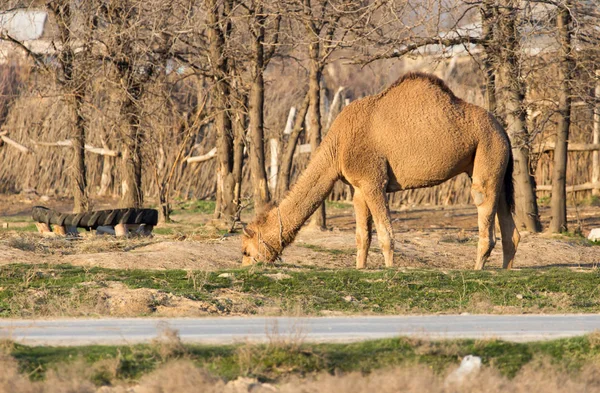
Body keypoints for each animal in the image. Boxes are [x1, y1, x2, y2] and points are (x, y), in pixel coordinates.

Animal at [241, 72, 516, 270]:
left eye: (246, 250)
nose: (244, 267)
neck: (337, 145)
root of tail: (503, 131)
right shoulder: (358, 187)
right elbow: (362, 236)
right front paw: (360, 269)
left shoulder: (374, 181)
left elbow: (386, 234)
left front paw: (389, 271)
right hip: (496, 165)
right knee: (508, 223)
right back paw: (505, 270)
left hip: (487, 149)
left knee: (483, 203)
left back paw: (478, 269)